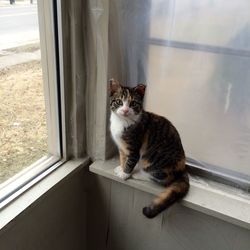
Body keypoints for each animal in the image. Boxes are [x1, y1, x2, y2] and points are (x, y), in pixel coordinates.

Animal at [108, 79, 188, 218]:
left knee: (163, 178)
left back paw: (138, 174)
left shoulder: (134, 146)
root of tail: (182, 167)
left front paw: (125, 173)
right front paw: (121, 167)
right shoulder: (122, 147)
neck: (122, 122)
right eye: (119, 101)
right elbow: (123, 157)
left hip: (153, 158)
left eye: (133, 103)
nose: (125, 110)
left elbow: (131, 161)